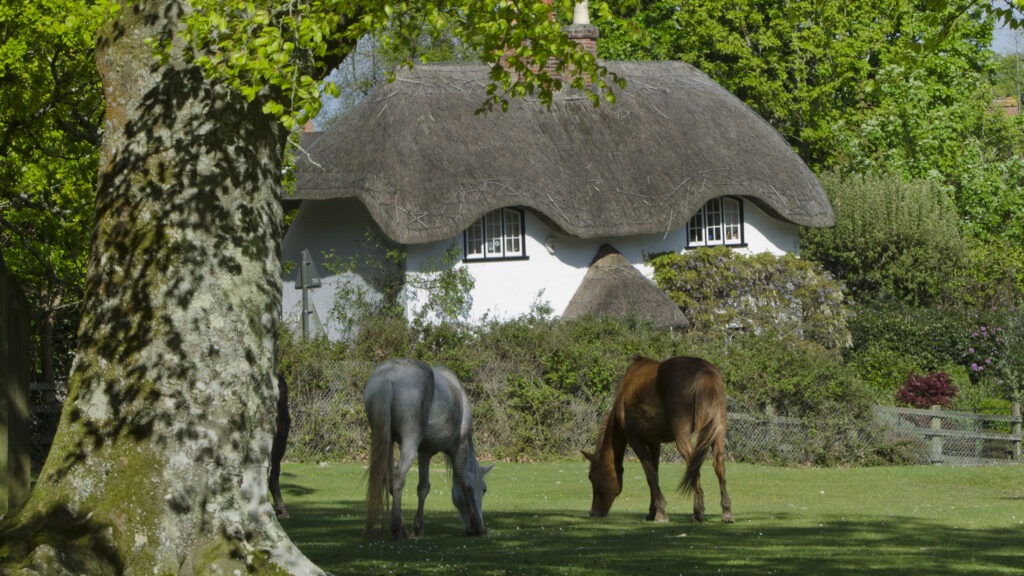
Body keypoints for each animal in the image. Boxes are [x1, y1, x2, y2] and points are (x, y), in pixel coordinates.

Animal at [363, 358, 493, 539]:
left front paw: (418, 527)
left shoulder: (424, 452)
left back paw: (402, 526)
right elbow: (466, 483)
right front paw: (478, 527)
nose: (477, 524)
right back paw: (397, 529)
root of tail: (387, 376)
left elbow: (423, 488)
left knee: (389, 480)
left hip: (385, 441)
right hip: (409, 442)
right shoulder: (459, 447)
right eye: (484, 489)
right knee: (398, 477)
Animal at [582, 355, 733, 524]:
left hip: (682, 436)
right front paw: (652, 512)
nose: (593, 513)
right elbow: (655, 474)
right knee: (719, 464)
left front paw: (660, 513)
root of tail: (705, 371)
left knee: (693, 464)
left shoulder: (634, 438)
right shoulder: (654, 442)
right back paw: (726, 512)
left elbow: (650, 475)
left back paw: (698, 512)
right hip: (717, 430)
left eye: (591, 477)